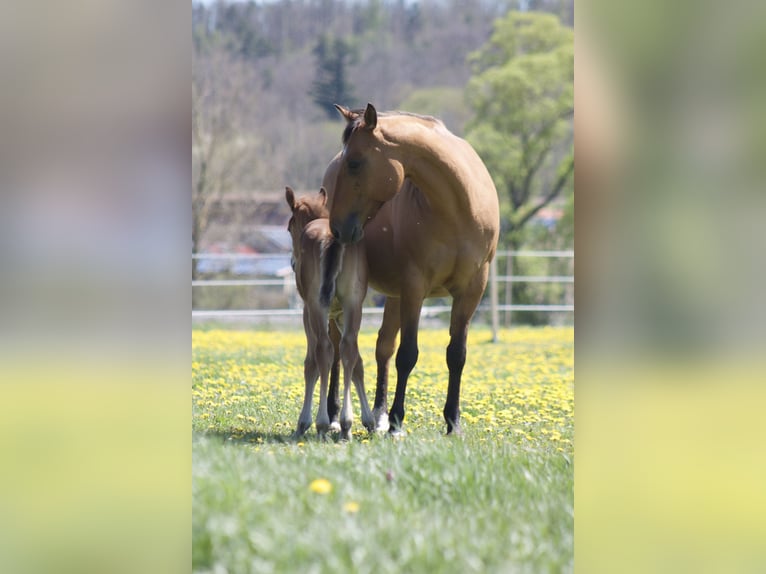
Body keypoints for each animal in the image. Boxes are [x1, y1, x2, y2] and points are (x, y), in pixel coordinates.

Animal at [285, 186, 375, 439]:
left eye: (289, 227)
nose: (293, 262)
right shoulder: (342, 314)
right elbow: (357, 363)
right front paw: (369, 421)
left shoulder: (308, 311)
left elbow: (311, 364)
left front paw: (303, 423)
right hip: (354, 305)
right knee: (349, 350)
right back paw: (346, 424)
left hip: (317, 307)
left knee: (324, 350)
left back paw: (322, 424)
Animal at [327, 104, 500, 435]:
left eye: (354, 163)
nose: (338, 228)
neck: (456, 209)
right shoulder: (414, 287)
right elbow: (408, 355)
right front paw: (397, 421)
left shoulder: (472, 290)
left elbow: (456, 354)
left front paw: (453, 422)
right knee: (335, 348)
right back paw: (333, 413)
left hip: (394, 297)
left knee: (383, 347)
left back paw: (379, 415)